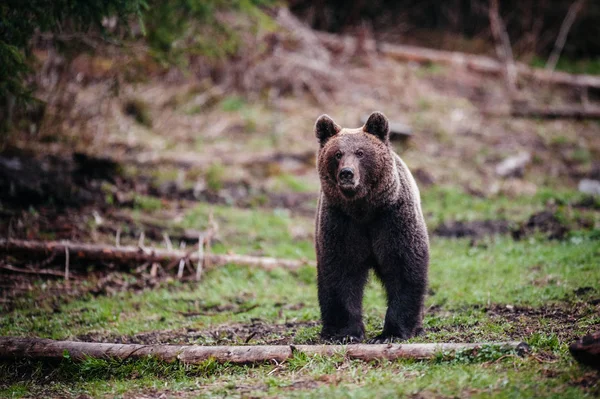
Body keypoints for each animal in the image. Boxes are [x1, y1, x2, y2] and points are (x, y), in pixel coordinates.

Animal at [312, 111, 428, 342]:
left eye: (360, 152)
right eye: (337, 154)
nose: (347, 173)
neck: (363, 209)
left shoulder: (392, 219)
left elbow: (404, 268)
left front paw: (391, 333)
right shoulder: (341, 223)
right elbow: (340, 272)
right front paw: (345, 333)